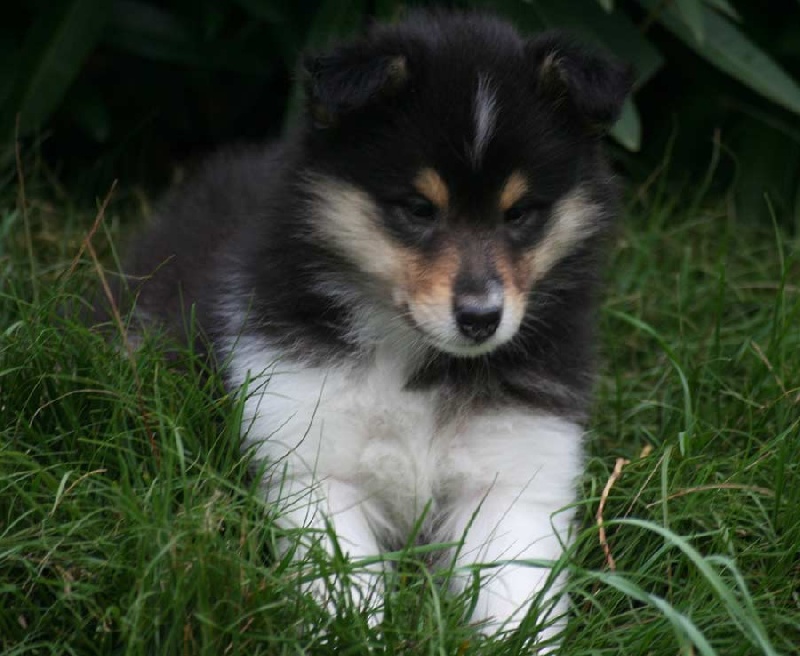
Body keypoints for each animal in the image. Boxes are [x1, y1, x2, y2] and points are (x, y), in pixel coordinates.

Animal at [121, 10, 631, 648]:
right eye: (418, 208)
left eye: (520, 214)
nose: (481, 318)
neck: (413, 358)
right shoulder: (312, 465)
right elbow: (341, 588)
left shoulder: (512, 476)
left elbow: (515, 599)